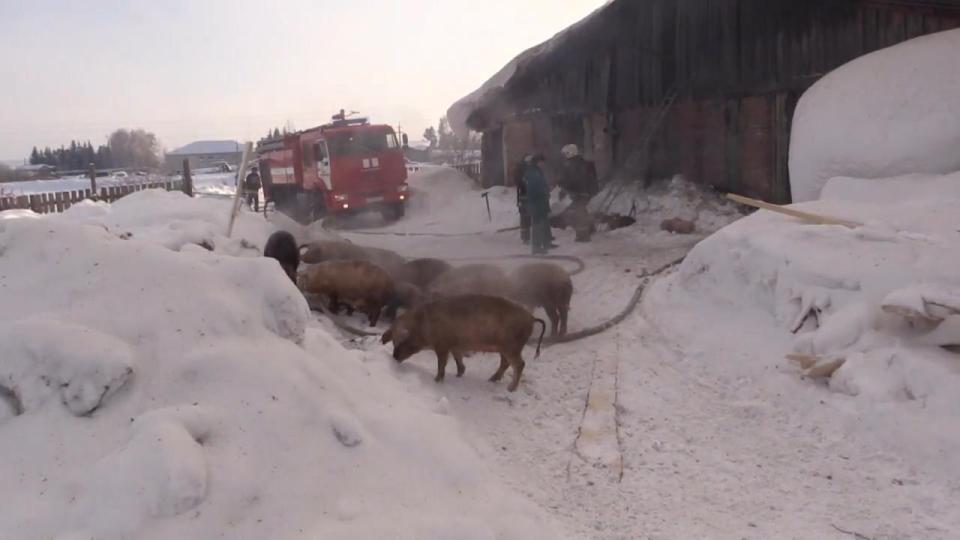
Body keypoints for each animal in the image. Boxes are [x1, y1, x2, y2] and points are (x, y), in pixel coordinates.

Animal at [382, 296, 548, 392]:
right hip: (505, 348)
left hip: (512, 346)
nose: (394, 357)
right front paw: (459, 374)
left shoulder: (442, 345)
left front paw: (436, 380)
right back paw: (491, 380)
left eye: (402, 341)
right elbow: (458, 359)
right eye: (393, 342)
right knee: (505, 363)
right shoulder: (455, 345)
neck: (422, 324)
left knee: (520, 364)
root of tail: (531, 317)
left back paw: (510, 389)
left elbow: (442, 363)